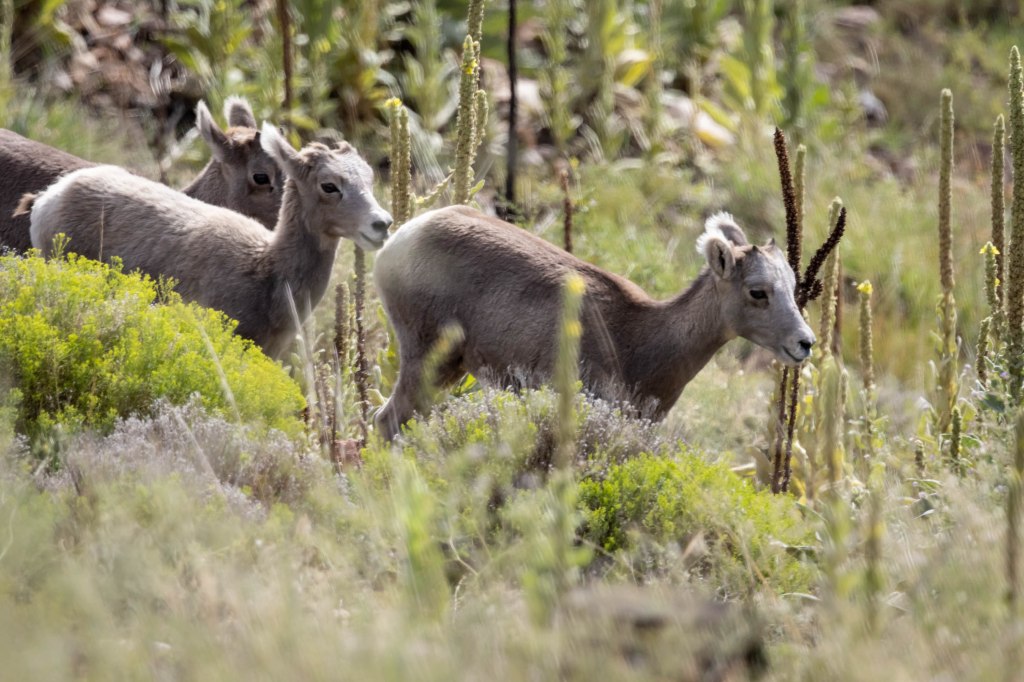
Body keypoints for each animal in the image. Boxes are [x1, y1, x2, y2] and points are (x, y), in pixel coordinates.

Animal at [372, 206, 815, 440]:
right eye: (758, 291)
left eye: (792, 285)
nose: (805, 343)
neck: (642, 340)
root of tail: (404, 236)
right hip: (426, 362)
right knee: (387, 422)